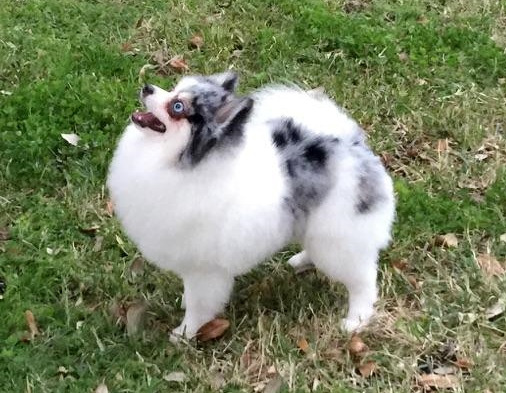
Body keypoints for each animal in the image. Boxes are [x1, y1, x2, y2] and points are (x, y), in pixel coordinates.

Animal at [106, 71, 396, 340]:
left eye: (177, 107)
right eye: (175, 88)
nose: (147, 87)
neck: (182, 165)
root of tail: (352, 144)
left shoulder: (205, 269)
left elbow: (200, 306)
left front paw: (184, 333)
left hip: (338, 240)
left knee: (363, 281)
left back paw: (355, 320)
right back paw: (301, 260)